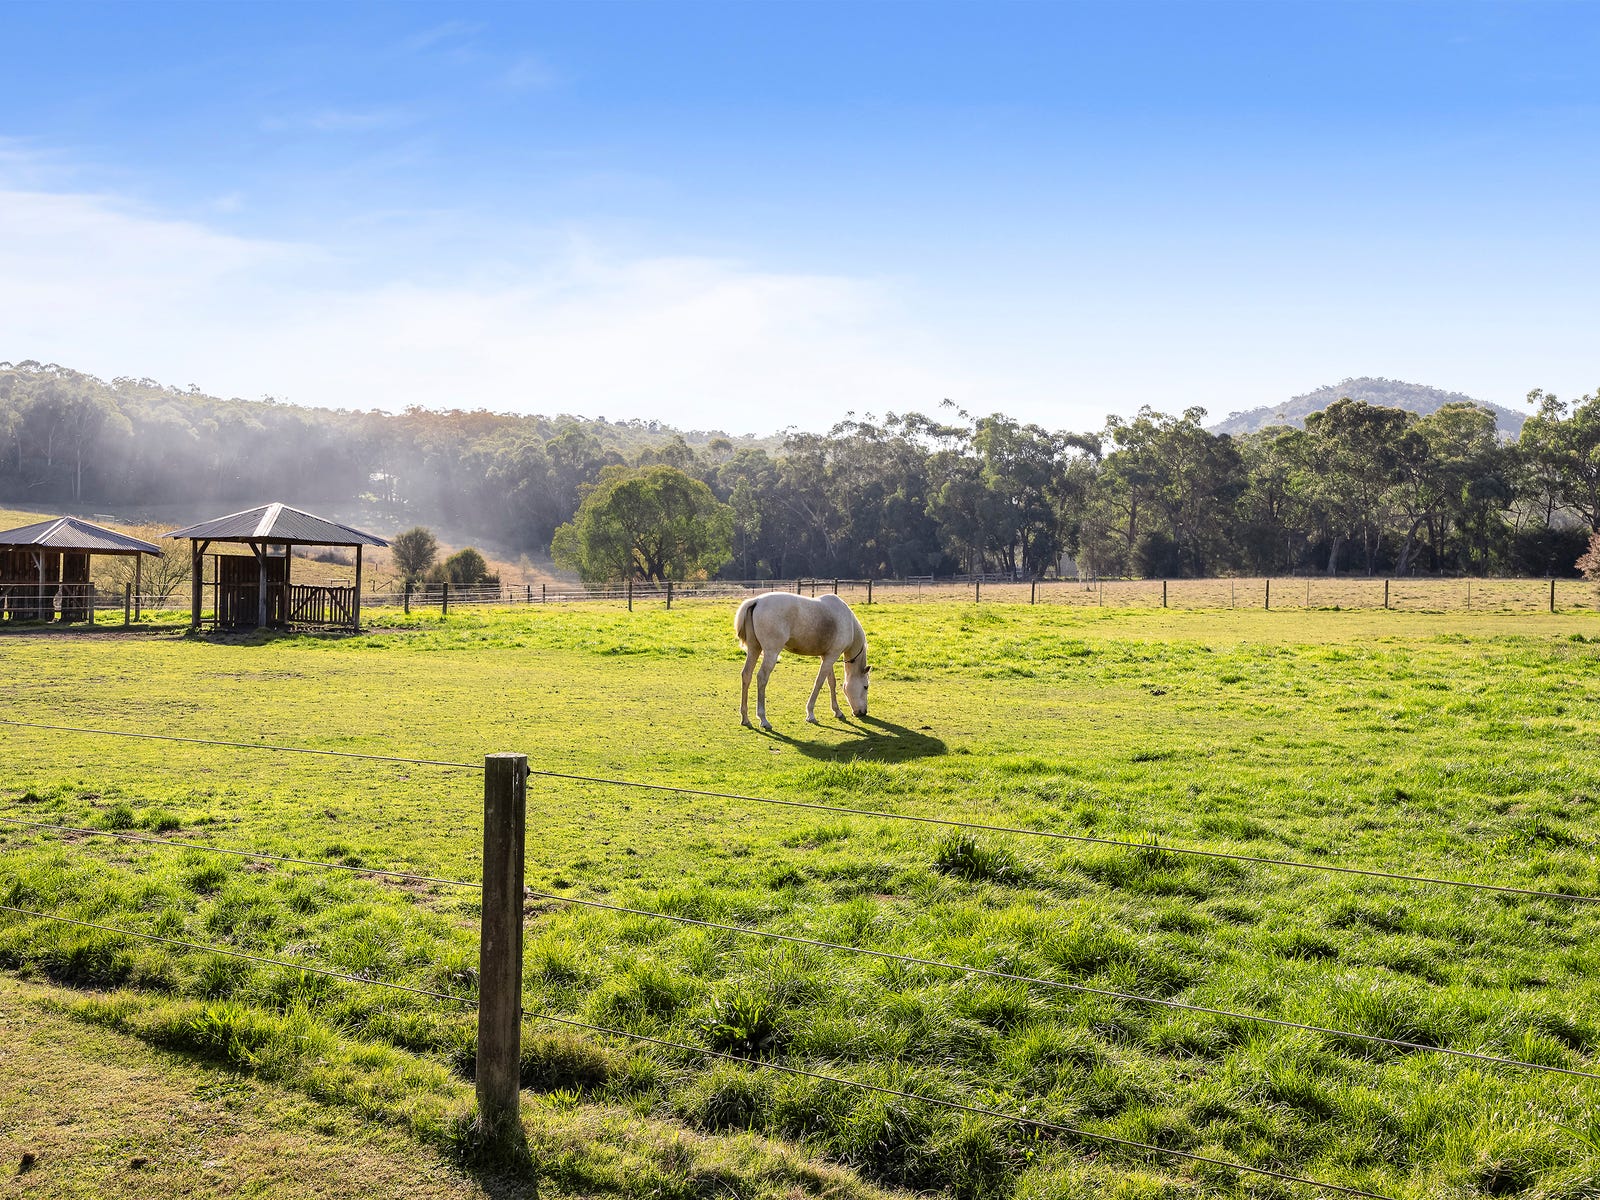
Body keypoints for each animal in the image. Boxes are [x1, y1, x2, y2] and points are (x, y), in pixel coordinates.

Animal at [735, 592, 870, 729]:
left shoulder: (827, 657)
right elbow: (819, 682)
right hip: (771, 653)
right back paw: (763, 719)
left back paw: (745, 718)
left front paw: (837, 711)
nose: (863, 712)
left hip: (754, 649)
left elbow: (831, 682)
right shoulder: (832, 656)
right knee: (762, 677)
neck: (849, 622)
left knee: (746, 675)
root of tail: (756, 601)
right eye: (866, 687)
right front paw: (810, 714)